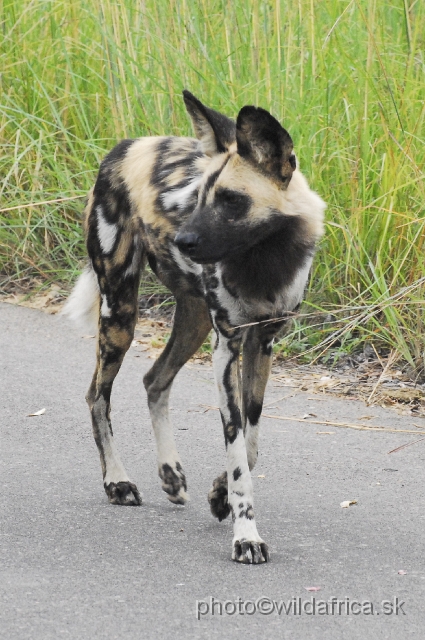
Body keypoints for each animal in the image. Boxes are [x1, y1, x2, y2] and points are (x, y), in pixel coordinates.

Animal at [63, 91, 324, 564]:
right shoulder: (227, 348)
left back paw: (170, 474)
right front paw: (246, 535)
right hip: (120, 316)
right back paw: (117, 482)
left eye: (232, 200)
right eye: (199, 197)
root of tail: (124, 146)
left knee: (154, 379)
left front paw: (221, 495)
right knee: (97, 395)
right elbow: (237, 447)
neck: (263, 259)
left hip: (193, 321)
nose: (183, 240)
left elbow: (250, 443)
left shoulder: (261, 343)